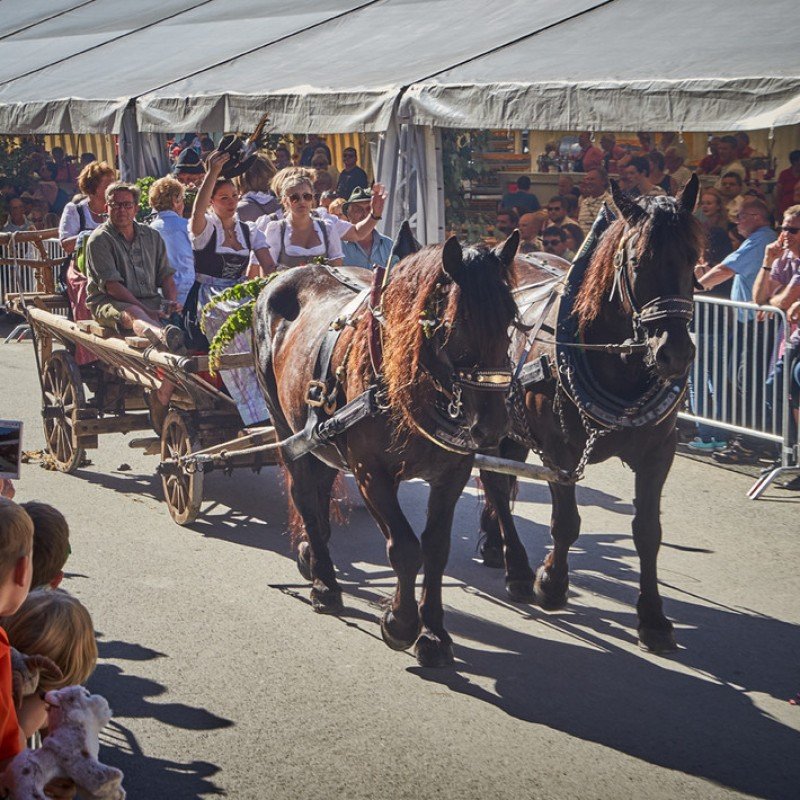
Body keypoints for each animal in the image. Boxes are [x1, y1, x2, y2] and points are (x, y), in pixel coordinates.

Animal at [255, 236, 520, 668]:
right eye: (457, 324)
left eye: (511, 318)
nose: (495, 425)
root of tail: (288, 273)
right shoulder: (370, 472)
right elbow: (405, 548)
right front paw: (400, 622)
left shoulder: (452, 474)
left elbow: (436, 548)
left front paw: (433, 633)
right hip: (284, 426)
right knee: (305, 495)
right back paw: (325, 585)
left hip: (321, 436)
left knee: (321, 491)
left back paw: (313, 553)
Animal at [482, 175, 700, 648]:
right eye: (637, 260)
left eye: (694, 257)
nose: (675, 353)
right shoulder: (559, 451)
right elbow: (566, 521)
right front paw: (551, 582)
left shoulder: (659, 452)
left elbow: (647, 531)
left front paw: (652, 617)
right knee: (494, 481)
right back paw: (517, 567)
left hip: (512, 427)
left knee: (500, 476)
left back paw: (492, 542)